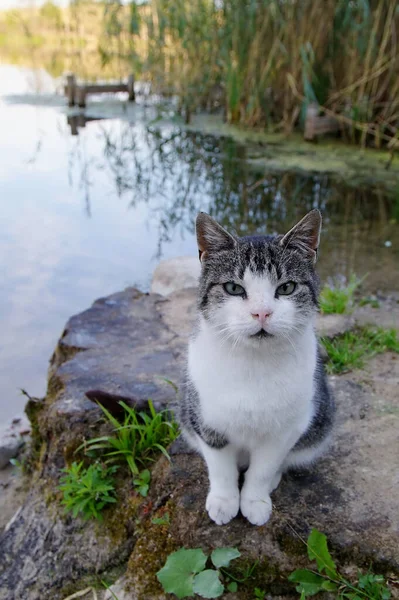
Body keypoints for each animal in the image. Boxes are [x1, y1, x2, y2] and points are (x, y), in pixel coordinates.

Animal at [180, 210, 336, 524]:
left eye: (287, 287)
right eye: (233, 288)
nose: (261, 313)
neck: (254, 363)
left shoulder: (287, 430)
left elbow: (263, 469)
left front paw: (254, 501)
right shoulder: (207, 421)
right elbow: (221, 468)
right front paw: (224, 501)